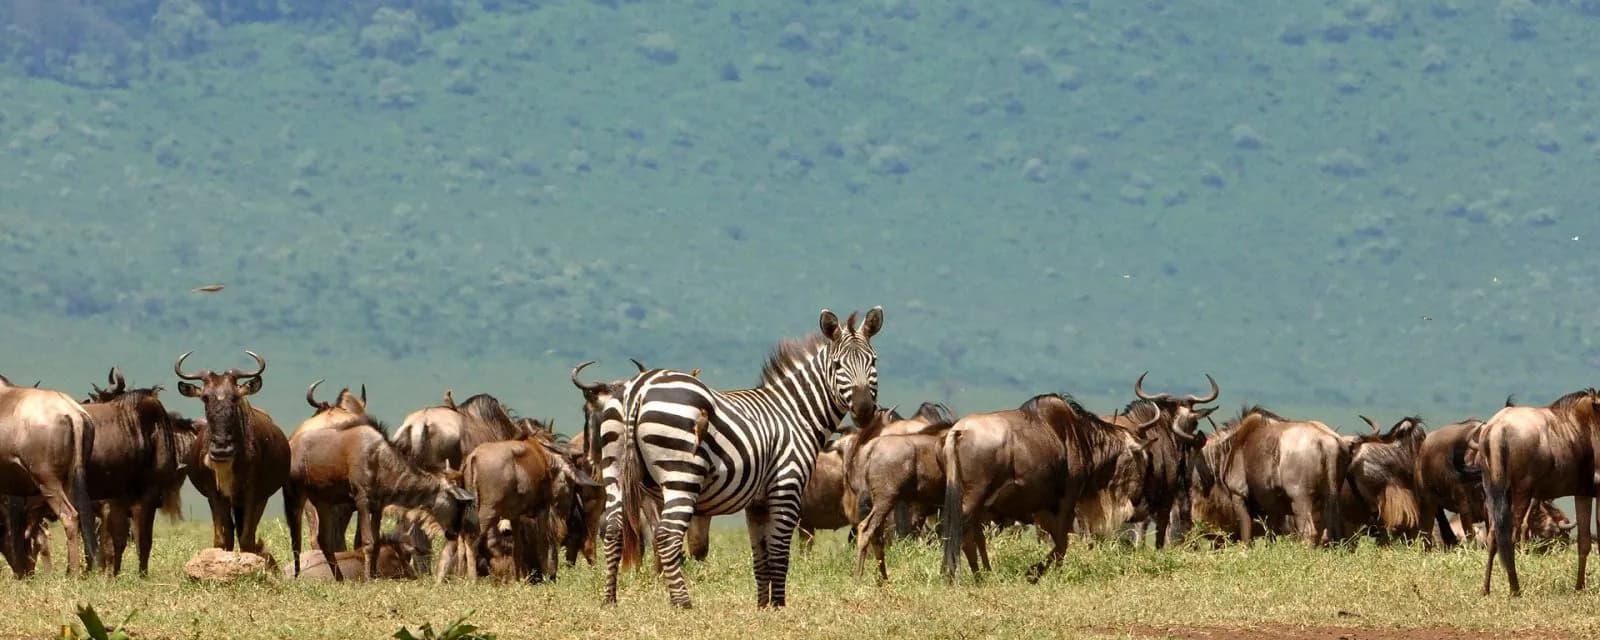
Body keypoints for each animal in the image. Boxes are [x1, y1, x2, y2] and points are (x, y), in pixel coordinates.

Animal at [599, 306, 884, 608]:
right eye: (838, 365)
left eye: (873, 361)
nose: (864, 409)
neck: (795, 413)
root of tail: (638, 388)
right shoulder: (787, 488)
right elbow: (780, 552)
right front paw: (778, 605)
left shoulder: (756, 504)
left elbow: (761, 556)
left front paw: (763, 605)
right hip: (681, 474)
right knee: (666, 536)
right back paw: (682, 603)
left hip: (613, 470)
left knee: (614, 529)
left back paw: (610, 599)